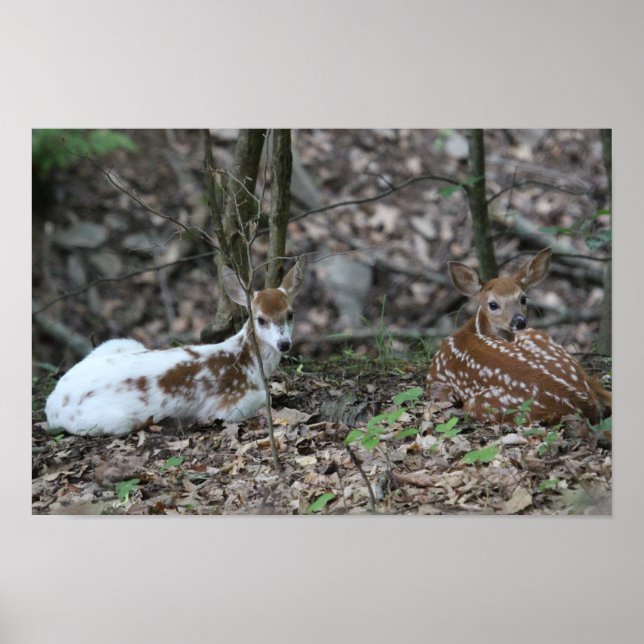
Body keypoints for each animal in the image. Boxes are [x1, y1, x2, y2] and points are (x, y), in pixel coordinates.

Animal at [45, 260, 305, 436]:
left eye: (290, 314)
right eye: (261, 319)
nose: (284, 344)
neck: (247, 362)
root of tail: (52, 403)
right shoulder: (231, 404)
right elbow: (263, 397)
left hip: (118, 343)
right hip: (112, 421)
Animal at [426, 248, 611, 425]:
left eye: (523, 298)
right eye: (493, 304)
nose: (519, 321)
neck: (471, 330)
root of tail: (585, 402)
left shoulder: (435, 378)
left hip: (482, 404)